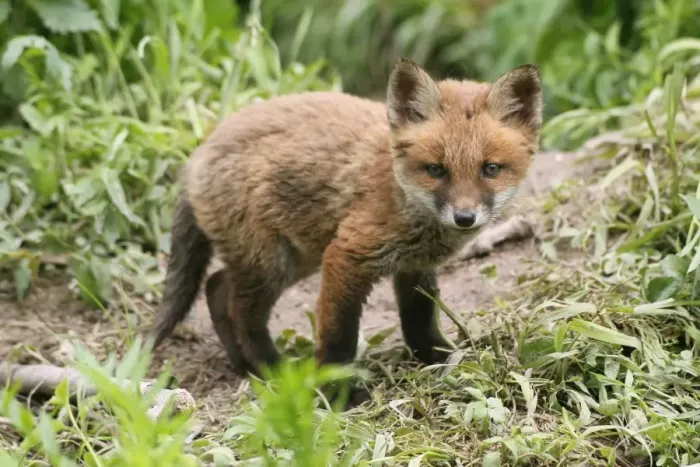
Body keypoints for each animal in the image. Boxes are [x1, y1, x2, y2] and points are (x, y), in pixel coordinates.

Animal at [149, 58, 543, 396]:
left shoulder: (414, 265)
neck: (403, 197)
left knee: (216, 287)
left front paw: (440, 359)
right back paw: (274, 370)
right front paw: (339, 392)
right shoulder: (347, 254)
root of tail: (198, 154)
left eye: (490, 169)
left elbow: (419, 324)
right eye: (436, 170)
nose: (465, 218)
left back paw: (243, 367)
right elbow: (339, 337)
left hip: (295, 258)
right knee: (240, 312)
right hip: (273, 264)